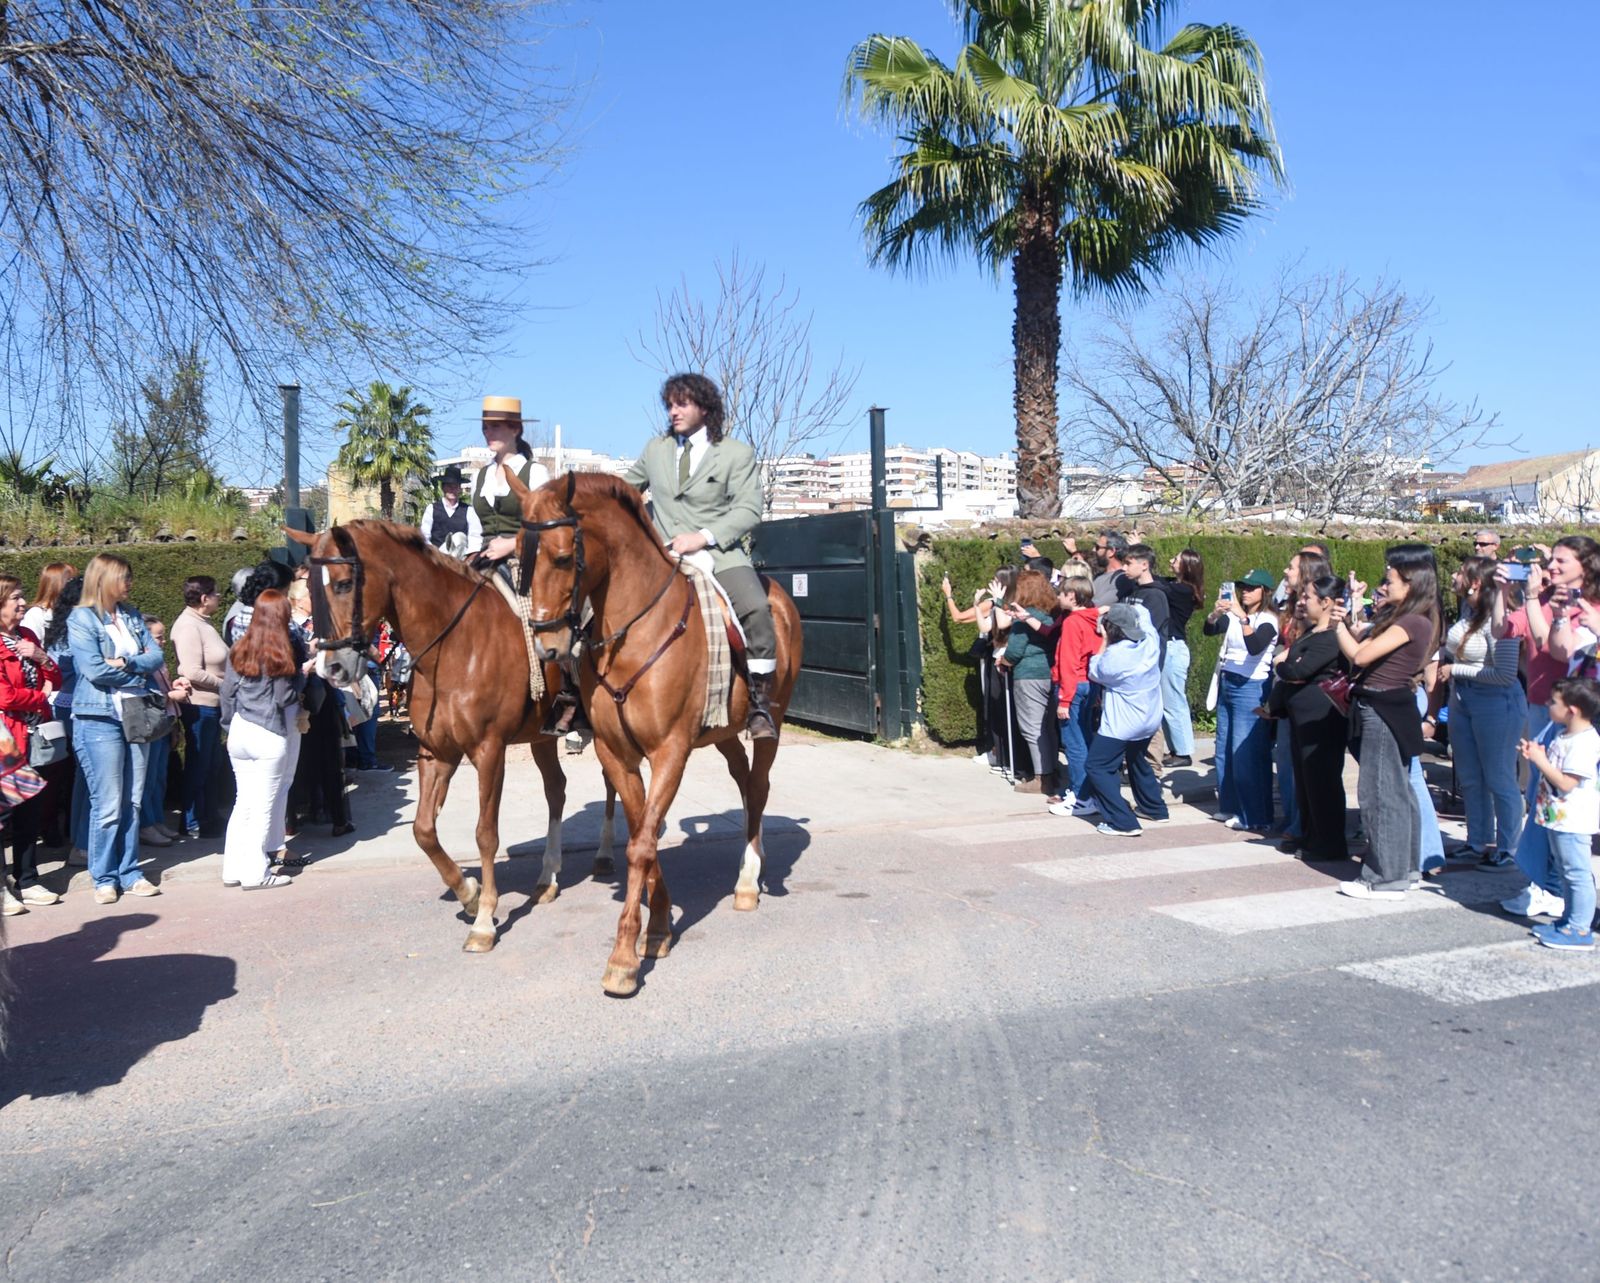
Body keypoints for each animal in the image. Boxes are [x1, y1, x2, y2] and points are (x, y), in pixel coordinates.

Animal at [285, 522, 617, 952]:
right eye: (311, 591)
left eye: (343, 584)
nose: (331, 669)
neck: (457, 645)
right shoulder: (436, 752)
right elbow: (423, 830)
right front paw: (468, 893)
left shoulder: (489, 751)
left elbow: (486, 834)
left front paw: (485, 920)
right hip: (542, 737)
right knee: (557, 790)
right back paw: (547, 877)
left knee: (612, 784)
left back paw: (605, 855)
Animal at [504, 469, 803, 997]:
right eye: (520, 554)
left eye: (561, 555)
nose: (547, 648)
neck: (634, 632)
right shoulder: (616, 753)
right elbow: (641, 830)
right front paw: (659, 928)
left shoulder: (670, 751)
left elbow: (642, 843)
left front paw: (623, 958)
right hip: (724, 733)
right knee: (745, 782)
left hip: (772, 721)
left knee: (760, 786)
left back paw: (748, 880)